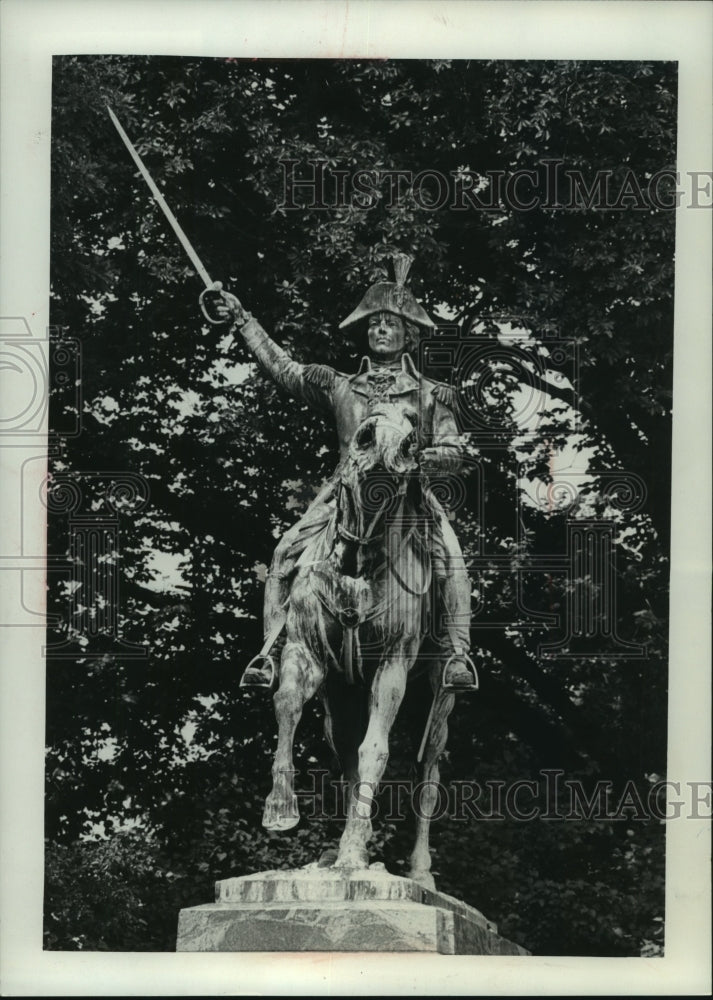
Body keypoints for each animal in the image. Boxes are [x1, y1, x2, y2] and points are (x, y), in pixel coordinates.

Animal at [258, 402, 454, 888]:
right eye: (367, 423)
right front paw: (280, 809)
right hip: (340, 699)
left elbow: (376, 750)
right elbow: (287, 704)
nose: (382, 443)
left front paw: (352, 854)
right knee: (346, 754)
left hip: (439, 700)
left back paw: (420, 873)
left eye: (412, 428)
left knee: (428, 773)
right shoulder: (305, 650)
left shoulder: (393, 664)